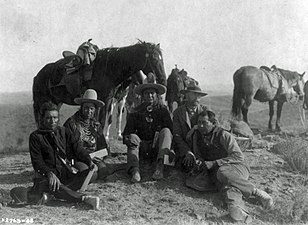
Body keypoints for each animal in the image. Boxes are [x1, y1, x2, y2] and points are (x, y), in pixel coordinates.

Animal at [32, 40, 166, 128]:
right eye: (154, 59)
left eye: (162, 59)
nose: (163, 79)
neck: (108, 69)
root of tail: (37, 76)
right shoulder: (103, 100)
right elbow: (100, 122)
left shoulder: (108, 100)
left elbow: (101, 122)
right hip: (42, 101)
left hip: (56, 102)